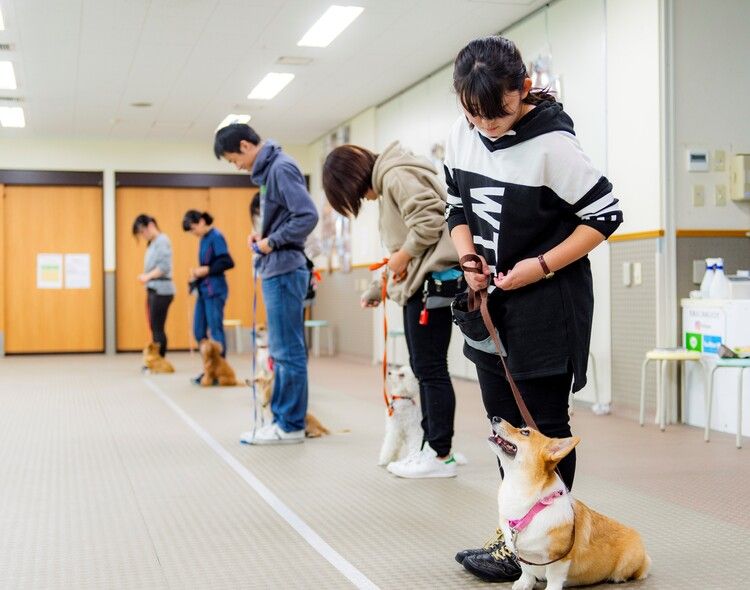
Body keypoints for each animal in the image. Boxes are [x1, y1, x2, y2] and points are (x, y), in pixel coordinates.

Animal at [490, 418, 648, 588]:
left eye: (525, 432)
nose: (495, 418)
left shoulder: (558, 558)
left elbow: (553, 578)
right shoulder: (523, 554)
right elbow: (527, 571)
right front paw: (523, 584)